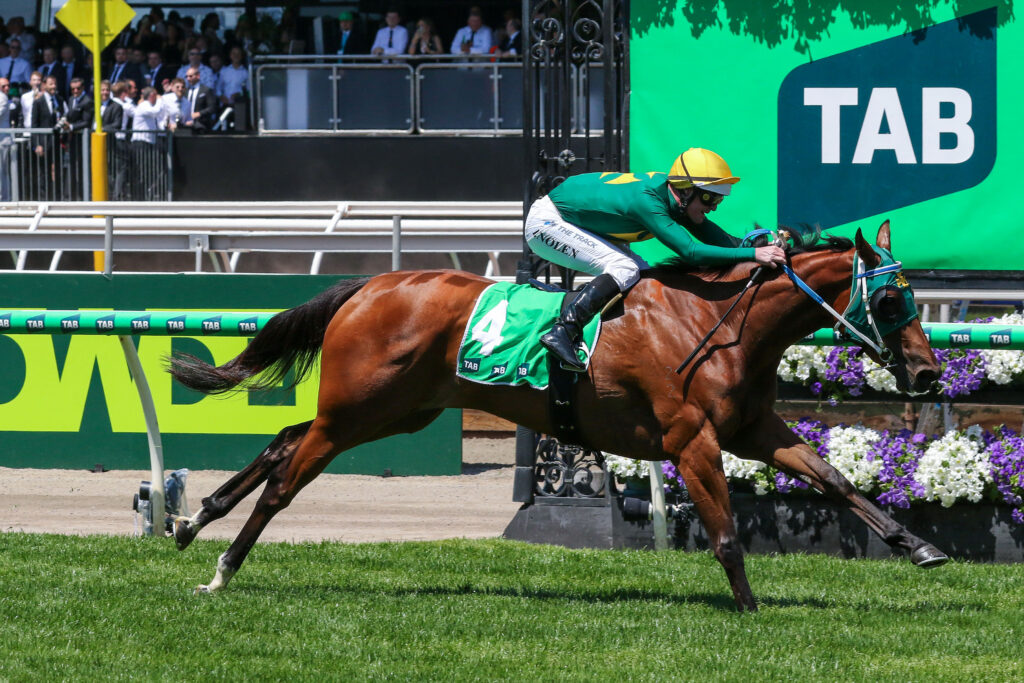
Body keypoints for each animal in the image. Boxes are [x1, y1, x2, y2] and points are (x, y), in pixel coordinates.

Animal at [168, 221, 947, 611]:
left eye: (912, 297)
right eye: (890, 299)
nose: (927, 373)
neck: (717, 322)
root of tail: (369, 285)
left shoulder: (754, 430)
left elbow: (834, 480)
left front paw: (919, 545)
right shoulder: (690, 439)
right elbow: (726, 534)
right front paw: (751, 609)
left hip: (397, 411)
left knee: (282, 441)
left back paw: (192, 519)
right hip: (357, 412)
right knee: (285, 480)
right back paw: (221, 568)